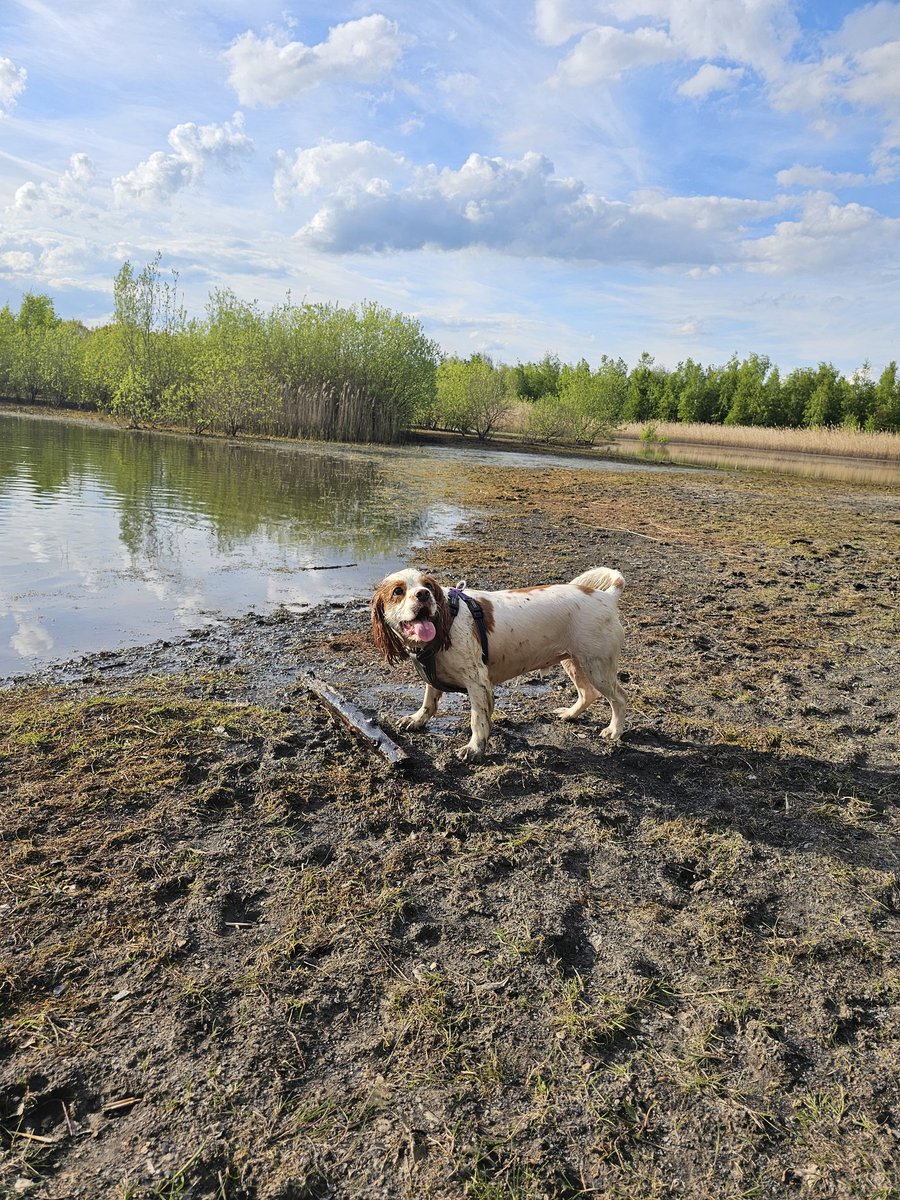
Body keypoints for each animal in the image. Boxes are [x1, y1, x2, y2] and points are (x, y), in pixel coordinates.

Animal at [367, 568, 628, 758]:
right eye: (398, 591)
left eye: (428, 586)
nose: (423, 594)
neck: (447, 621)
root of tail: (606, 597)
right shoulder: (433, 675)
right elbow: (429, 701)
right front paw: (416, 719)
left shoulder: (477, 682)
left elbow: (478, 719)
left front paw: (474, 748)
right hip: (575, 663)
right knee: (587, 693)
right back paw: (571, 714)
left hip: (597, 667)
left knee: (619, 697)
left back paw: (614, 730)